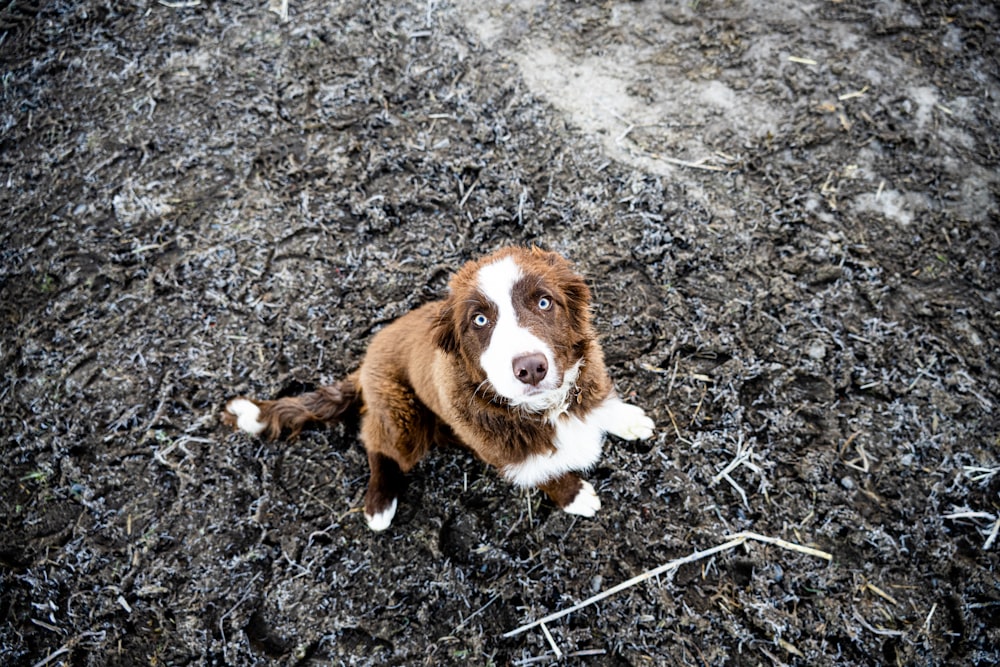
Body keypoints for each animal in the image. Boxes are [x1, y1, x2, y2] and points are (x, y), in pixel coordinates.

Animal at [222, 247, 652, 532]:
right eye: (479, 320)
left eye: (545, 302)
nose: (530, 368)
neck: (548, 407)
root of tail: (364, 365)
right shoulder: (504, 451)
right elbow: (546, 472)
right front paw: (575, 496)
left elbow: (599, 401)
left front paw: (627, 419)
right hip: (402, 417)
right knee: (374, 440)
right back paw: (379, 503)